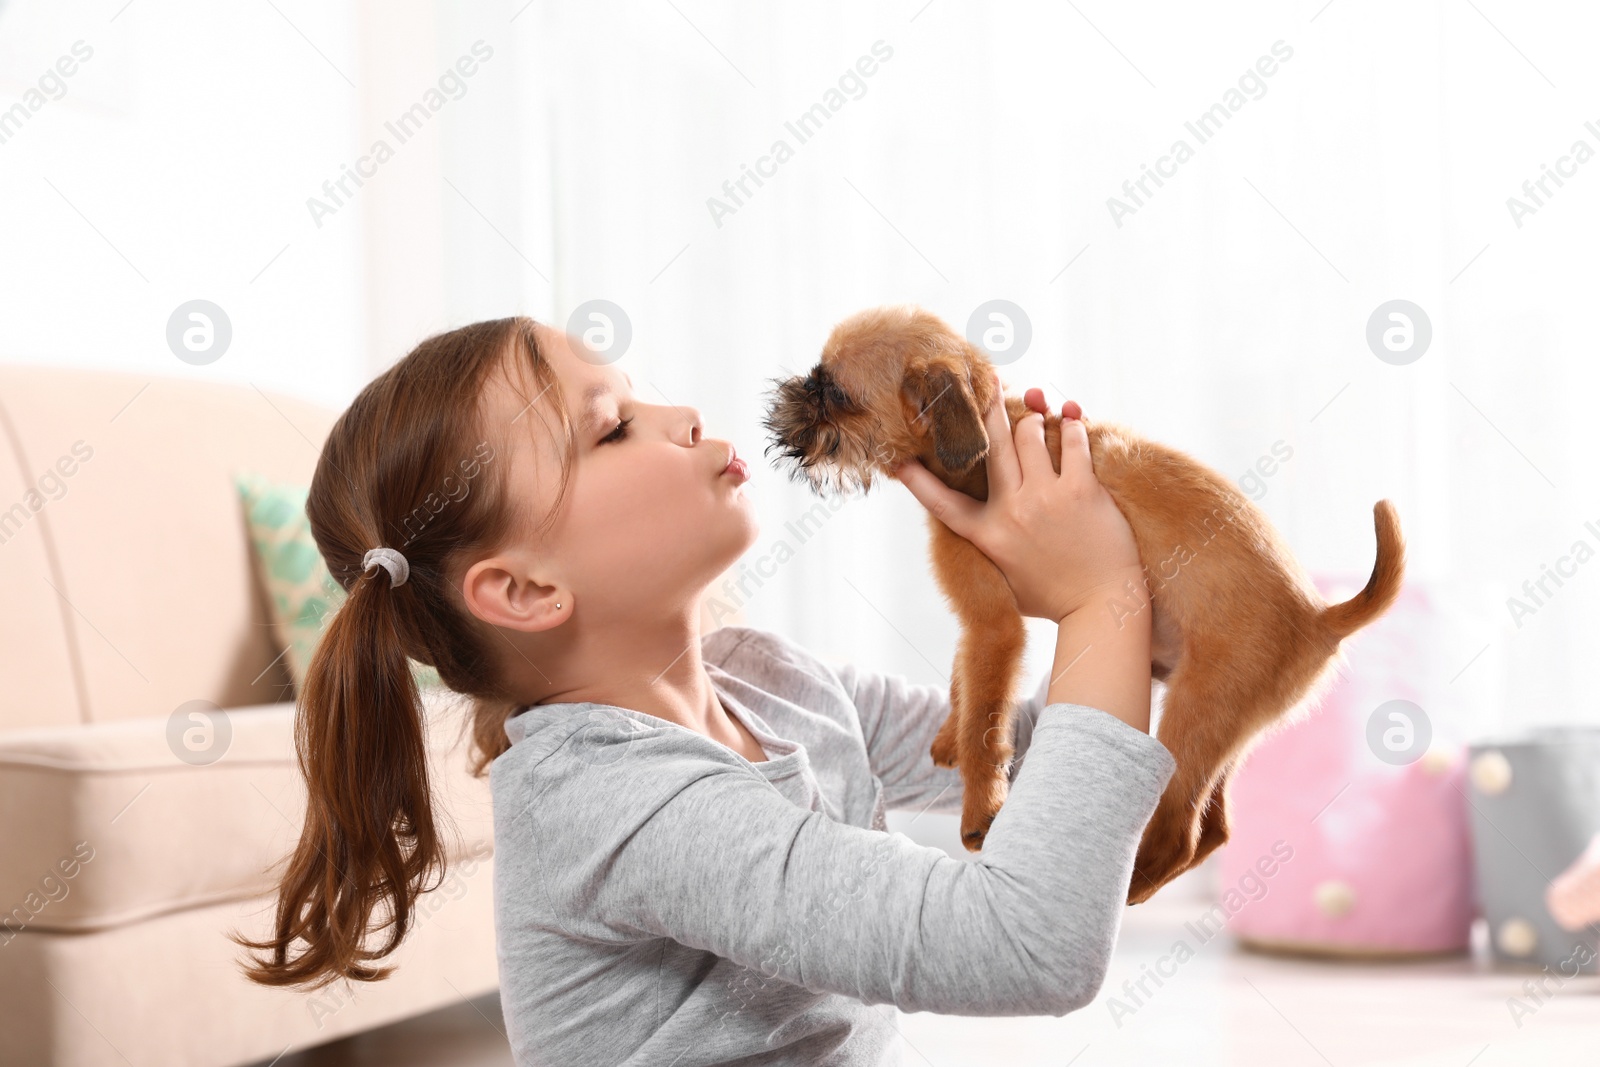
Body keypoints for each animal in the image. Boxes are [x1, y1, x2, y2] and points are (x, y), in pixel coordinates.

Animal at [761, 303, 1401, 908]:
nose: (788, 394)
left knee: (1182, 834)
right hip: (1222, 734)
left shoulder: (995, 626)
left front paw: (978, 808)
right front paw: (947, 734)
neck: (985, 445)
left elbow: (985, 719)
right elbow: (963, 680)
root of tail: (1319, 617)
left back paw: (1127, 886)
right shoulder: (981, 630)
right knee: (1215, 828)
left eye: (834, 393)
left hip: (1196, 716)